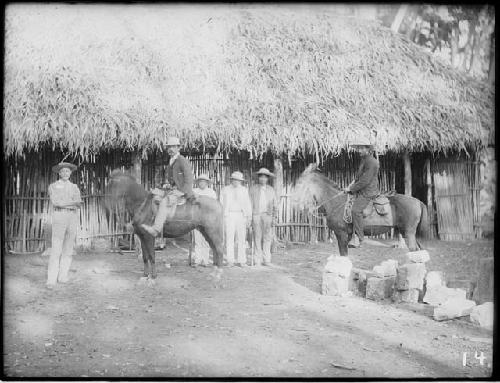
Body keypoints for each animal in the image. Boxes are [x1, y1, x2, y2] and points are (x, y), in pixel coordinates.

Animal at [292, 165, 430, 258]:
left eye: (299, 183)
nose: (295, 203)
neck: (336, 202)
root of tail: (418, 202)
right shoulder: (346, 235)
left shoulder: (341, 234)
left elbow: (343, 254)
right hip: (409, 233)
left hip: (408, 233)